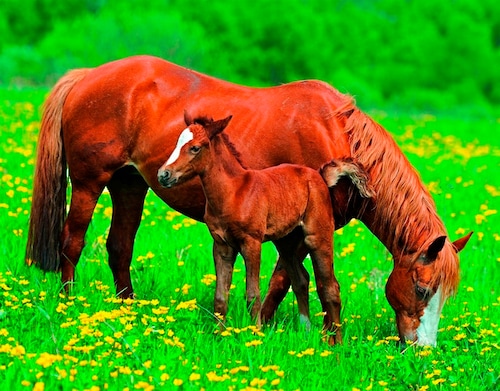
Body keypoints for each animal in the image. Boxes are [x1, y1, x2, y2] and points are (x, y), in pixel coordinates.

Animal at [158, 112, 374, 344]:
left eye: (195, 148)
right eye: (177, 143)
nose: (163, 175)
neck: (234, 192)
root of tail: (320, 176)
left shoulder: (251, 242)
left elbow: (253, 294)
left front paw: (256, 336)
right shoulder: (221, 245)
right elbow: (220, 295)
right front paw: (219, 336)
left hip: (317, 235)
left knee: (330, 286)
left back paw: (336, 343)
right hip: (287, 243)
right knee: (301, 280)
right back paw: (306, 331)